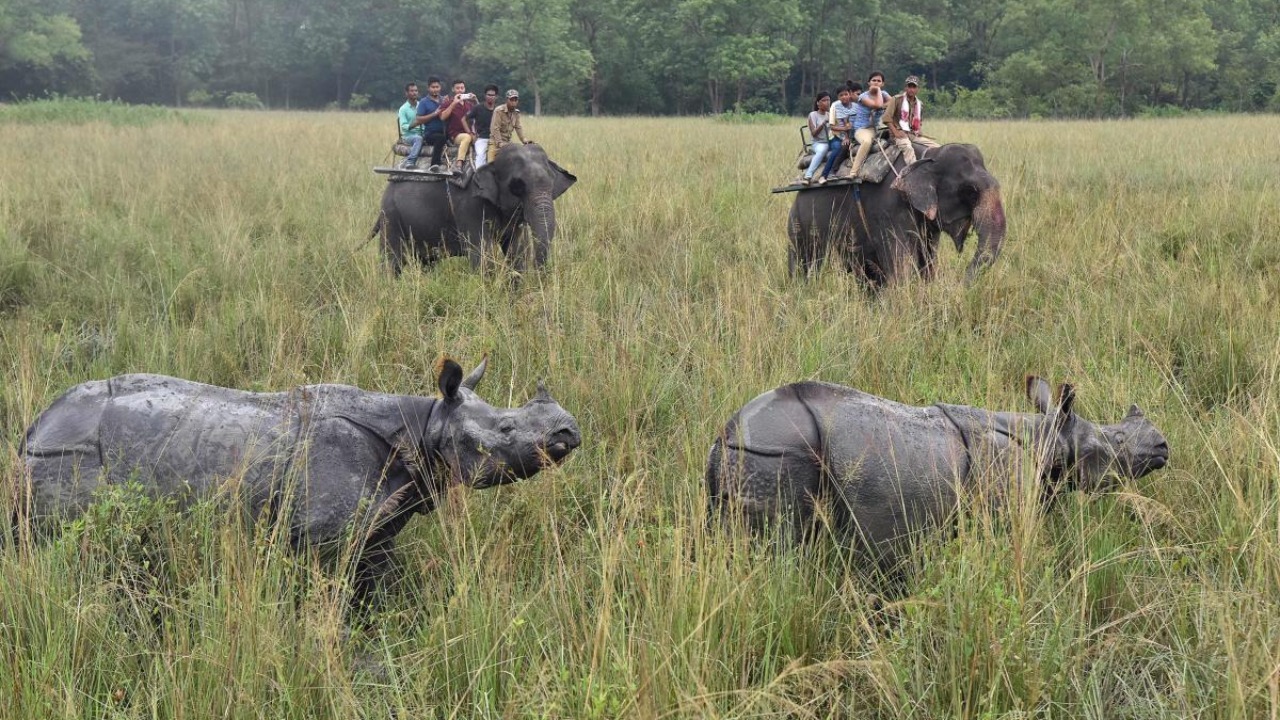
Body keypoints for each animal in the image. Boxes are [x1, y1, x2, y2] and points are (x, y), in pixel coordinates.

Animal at [373, 141, 576, 272]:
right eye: (517, 186)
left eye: (552, 182)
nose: (540, 274)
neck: (492, 159)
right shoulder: (469, 206)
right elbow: (482, 254)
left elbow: (517, 251)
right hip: (390, 216)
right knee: (392, 261)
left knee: (428, 262)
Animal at [783, 140, 1003, 285]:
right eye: (970, 192)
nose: (959, 284)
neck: (929, 156)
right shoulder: (889, 209)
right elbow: (900, 264)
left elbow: (927, 259)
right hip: (798, 223)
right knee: (804, 262)